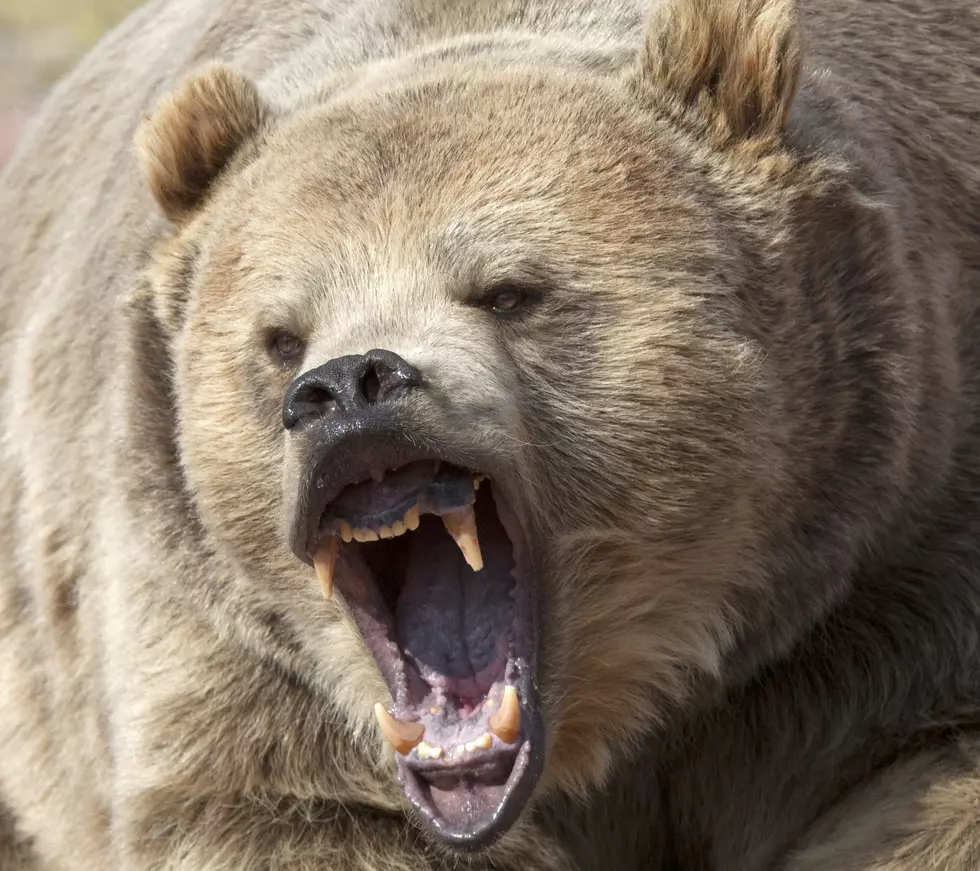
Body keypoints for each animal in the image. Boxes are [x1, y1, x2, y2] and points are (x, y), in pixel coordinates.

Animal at [0, 0, 976, 868]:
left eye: (508, 291)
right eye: (280, 337)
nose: (349, 388)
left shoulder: (894, 549)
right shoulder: (224, 638)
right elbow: (283, 806)